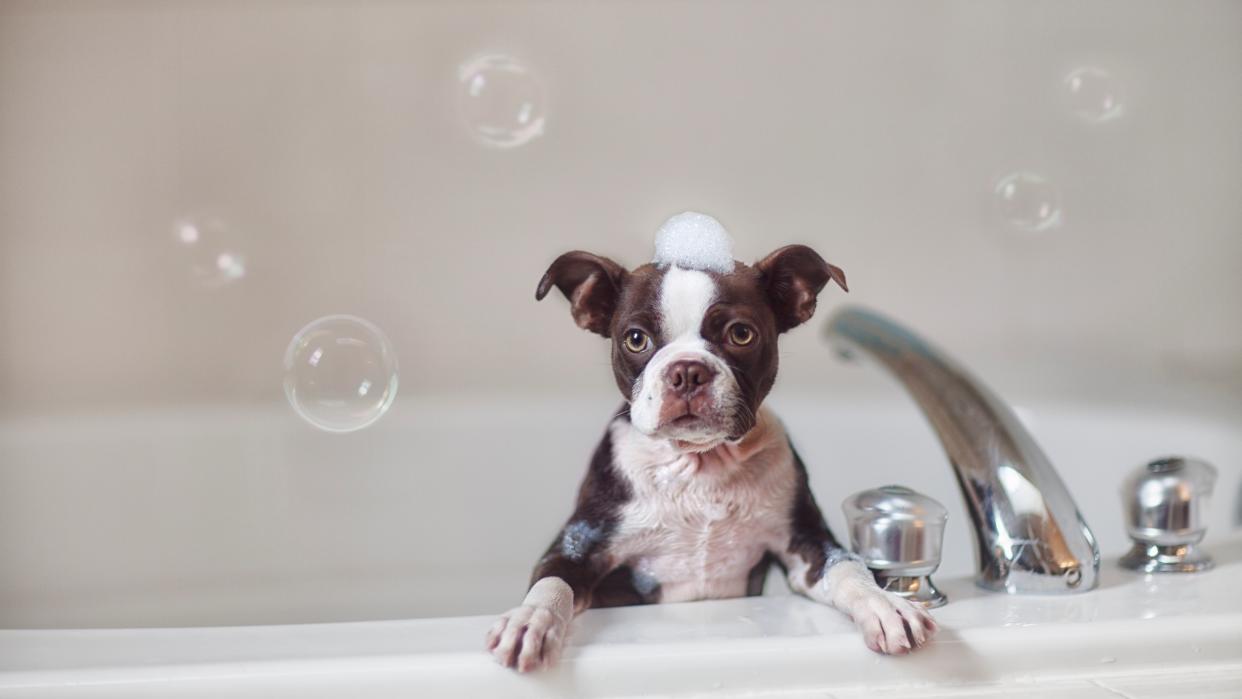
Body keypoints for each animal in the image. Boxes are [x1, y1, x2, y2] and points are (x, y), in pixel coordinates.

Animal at [481, 214, 933, 670]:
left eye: (741, 334)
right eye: (636, 339)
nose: (687, 371)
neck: (700, 465)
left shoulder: (807, 546)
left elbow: (847, 568)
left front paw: (883, 604)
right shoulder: (578, 545)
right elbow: (551, 582)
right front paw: (529, 621)